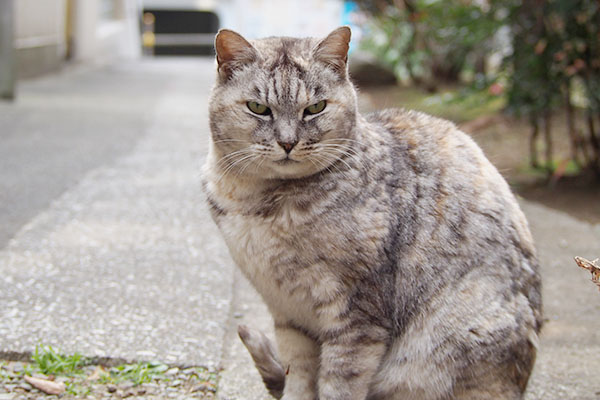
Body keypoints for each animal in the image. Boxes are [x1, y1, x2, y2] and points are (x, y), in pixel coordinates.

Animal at [203, 26, 544, 398]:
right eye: (258, 108)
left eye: (315, 108)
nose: (288, 142)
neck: (259, 201)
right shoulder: (288, 314)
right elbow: (298, 376)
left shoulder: (357, 313)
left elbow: (338, 384)